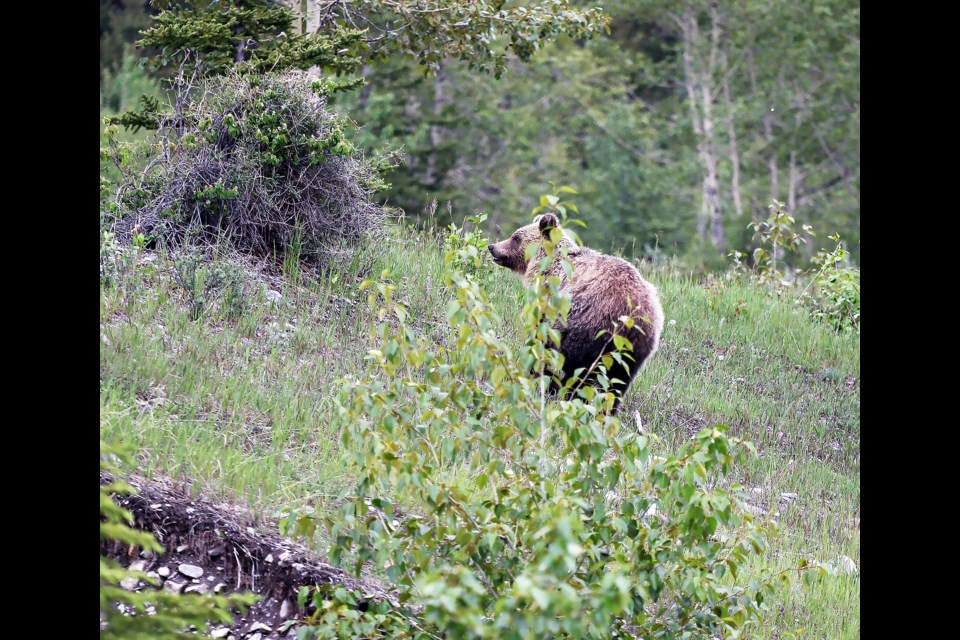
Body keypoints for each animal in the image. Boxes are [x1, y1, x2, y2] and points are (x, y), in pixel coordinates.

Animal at [492, 212, 664, 412]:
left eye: (515, 237)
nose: (492, 247)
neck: (545, 264)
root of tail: (632, 317)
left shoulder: (550, 304)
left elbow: (541, 341)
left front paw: (537, 374)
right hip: (633, 351)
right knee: (617, 383)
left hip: (588, 328)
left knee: (578, 370)